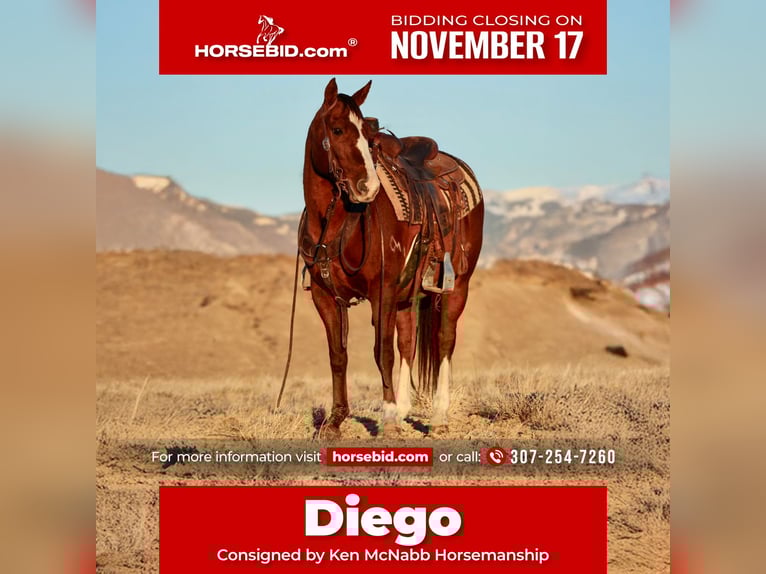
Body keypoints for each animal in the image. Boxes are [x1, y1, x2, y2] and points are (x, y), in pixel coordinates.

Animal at [299, 78, 484, 438]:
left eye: (369, 139)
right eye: (337, 129)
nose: (367, 188)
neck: (337, 222)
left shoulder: (380, 291)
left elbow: (381, 352)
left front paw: (387, 422)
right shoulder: (324, 296)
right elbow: (338, 355)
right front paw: (335, 421)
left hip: (458, 287)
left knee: (444, 341)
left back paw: (438, 417)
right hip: (406, 296)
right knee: (408, 342)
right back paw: (404, 409)